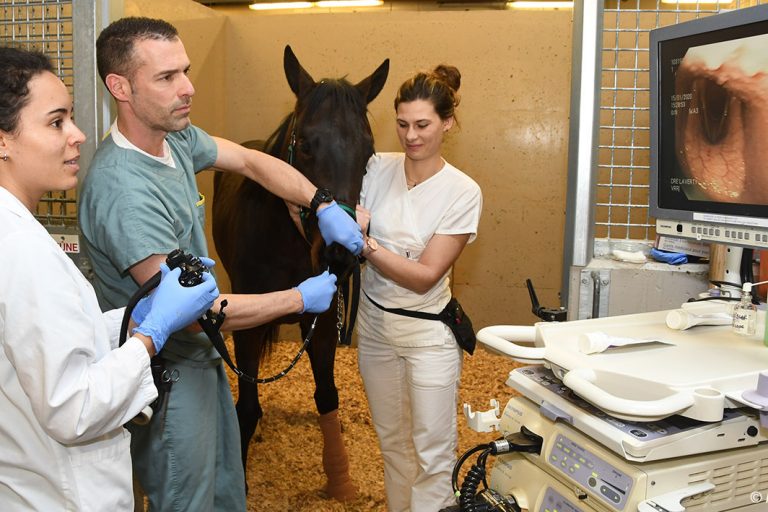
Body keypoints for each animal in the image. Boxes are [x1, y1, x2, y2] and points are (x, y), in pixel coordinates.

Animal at [212, 45, 389, 501]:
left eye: (368, 152)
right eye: (305, 142)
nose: (339, 253)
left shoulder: (322, 322)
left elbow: (327, 396)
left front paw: (340, 480)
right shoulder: (248, 326)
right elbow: (247, 406)